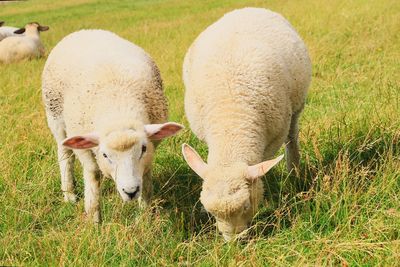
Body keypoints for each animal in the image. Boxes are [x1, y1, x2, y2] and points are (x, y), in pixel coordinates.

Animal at [41, 29, 183, 223]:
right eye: (105, 155)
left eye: (143, 149)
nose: (130, 191)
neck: (118, 109)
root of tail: (84, 31)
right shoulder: (86, 151)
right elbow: (93, 176)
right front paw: (94, 220)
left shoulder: (152, 146)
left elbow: (146, 181)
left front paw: (145, 215)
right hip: (55, 118)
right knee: (65, 155)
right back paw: (69, 195)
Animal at [181, 6, 312, 241]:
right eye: (210, 212)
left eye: (246, 206)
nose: (234, 242)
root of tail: (247, 8)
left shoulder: (272, 138)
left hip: (296, 107)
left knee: (292, 138)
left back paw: (294, 170)